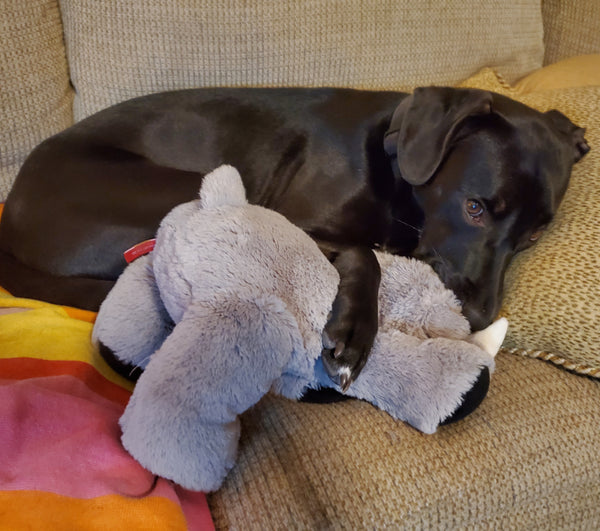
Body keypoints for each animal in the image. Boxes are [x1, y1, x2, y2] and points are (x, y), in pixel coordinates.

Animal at [0, 87, 592, 408]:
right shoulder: (294, 219)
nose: (477, 319)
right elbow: (364, 254)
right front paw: (352, 335)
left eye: (534, 235)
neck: (395, 166)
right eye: (475, 208)